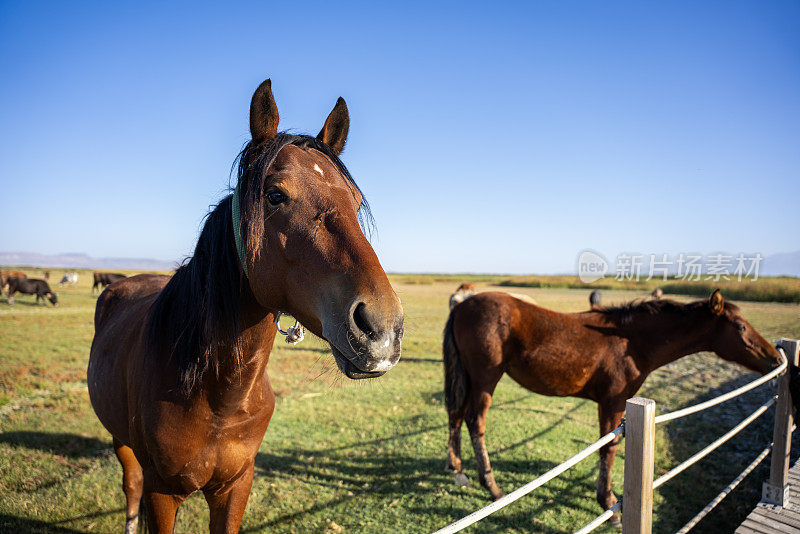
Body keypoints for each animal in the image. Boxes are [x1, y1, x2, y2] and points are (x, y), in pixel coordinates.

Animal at [86, 79, 406, 534]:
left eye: (357, 201)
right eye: (275, 195)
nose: (381, 328)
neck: (218, 395)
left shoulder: (236, 486)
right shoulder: (162, 493)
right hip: (123, 445)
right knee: (130, 487)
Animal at [446, 292, 784, 524]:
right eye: (740, 326)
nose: (775, 358)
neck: (631, 342)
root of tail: (462, 305)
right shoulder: (613, 403)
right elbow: (608, 449)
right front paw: (609, 504)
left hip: (469, 377)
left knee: (456, 416)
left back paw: (458, 471)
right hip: (486, 378)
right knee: (475, 421)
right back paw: (492, 487)